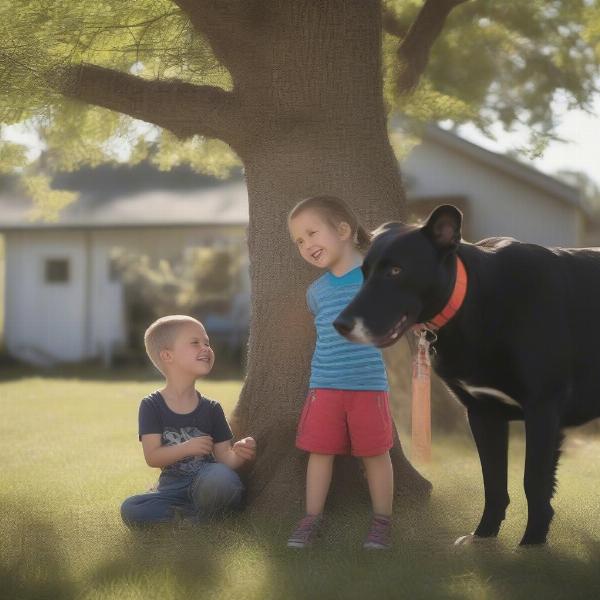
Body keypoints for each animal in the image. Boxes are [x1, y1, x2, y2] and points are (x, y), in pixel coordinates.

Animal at [332, 205, 600, 544]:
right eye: (364, 273)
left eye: (395, 271)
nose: (340, 324)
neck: (477, 297)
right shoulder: (483, 413)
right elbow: (493, 483)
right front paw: (483, 539)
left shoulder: (543, 408)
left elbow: (533, 483)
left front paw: (531, 546)